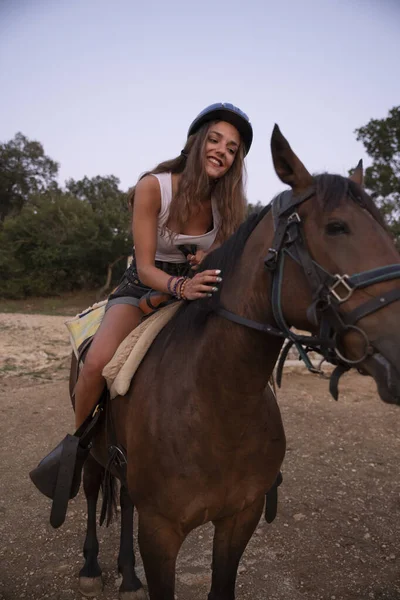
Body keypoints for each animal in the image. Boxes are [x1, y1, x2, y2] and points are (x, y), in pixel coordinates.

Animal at [72, 124, 400, 596]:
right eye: (336, 227)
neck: (217, 402)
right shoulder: (160, 532)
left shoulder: (239, 518)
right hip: (94, 452)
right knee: (91, 487)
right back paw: (91, 566)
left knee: (126, 500)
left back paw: (128, 575)